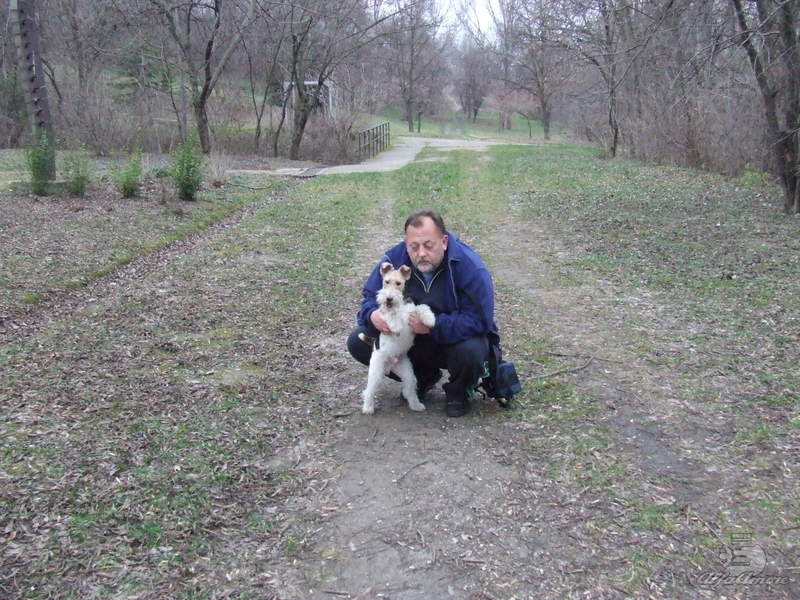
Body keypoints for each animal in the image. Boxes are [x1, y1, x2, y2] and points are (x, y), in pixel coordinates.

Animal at [362, 262, 436, 414]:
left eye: (398, 283)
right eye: (386, 281)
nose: (388, 299)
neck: (400, 304)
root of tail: (391, 364)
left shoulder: (412, 311)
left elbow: (422, 307)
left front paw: (429, 319)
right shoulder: (385, 313)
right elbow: (390, 314)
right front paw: (396, 326)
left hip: (408, 373)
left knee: (410, 390)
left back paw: (416, 405)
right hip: (376, 371)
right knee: (369, 390)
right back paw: (368, 408)